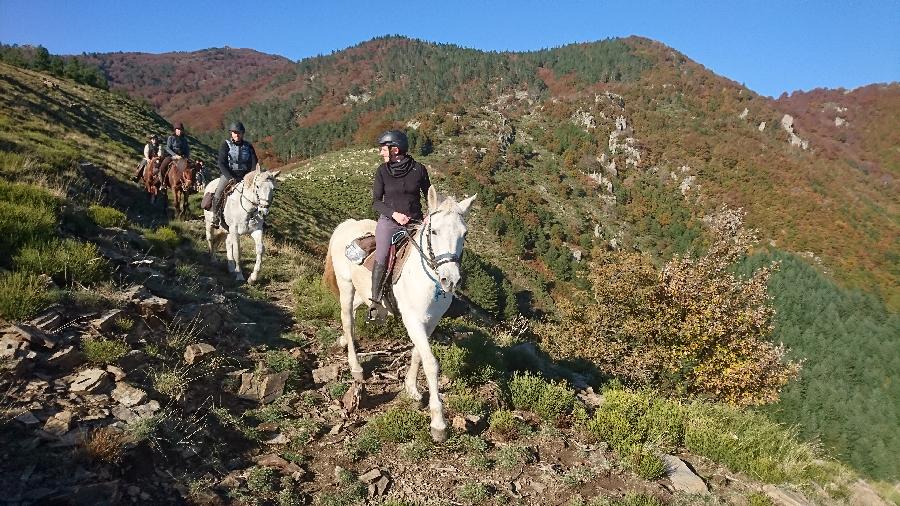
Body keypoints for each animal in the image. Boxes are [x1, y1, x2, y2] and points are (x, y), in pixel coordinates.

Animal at [326, 188, 478, 440]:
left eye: (464, 234)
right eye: (434, 231)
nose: (450, 280)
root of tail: (347, 225)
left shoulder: (429, 322)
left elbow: (417, 354)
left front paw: (412, 389)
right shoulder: (413, 321)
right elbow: (430, 363)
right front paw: (438, 423)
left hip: (362, 292)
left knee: (356, 312)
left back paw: (343, 340)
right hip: (346, 286)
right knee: (347, 320)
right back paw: (355, 367)